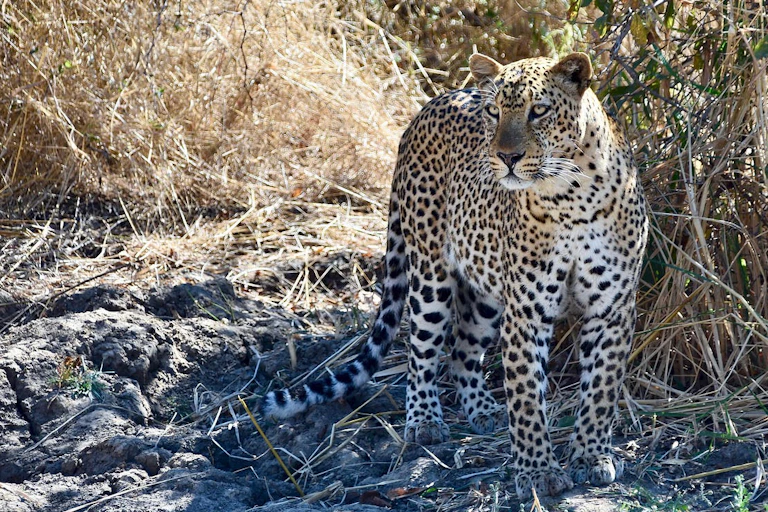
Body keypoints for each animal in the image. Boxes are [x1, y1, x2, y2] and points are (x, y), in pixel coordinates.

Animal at [262, 52, 648, 500]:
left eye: (538, 111)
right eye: (494, 112)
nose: (507, 157)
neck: (571, 199)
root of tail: (431, 104)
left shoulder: (612, 310)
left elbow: (601, 390)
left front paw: (591, 457)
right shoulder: (527, 313)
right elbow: (527, 398)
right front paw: (538, 472)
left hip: (484, 293)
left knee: (462, 355)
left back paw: (483, 410)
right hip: (430, 276)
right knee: (423, 352)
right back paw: (425, 421)